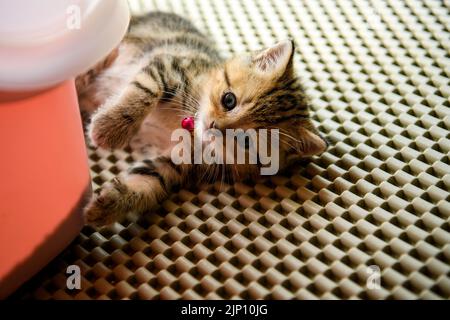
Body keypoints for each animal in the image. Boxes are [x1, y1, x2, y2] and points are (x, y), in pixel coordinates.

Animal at [78, 12, 326, 226]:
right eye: (229, 100)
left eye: (246, 141)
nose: (213, 126)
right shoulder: (167, 65)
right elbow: (145, 91)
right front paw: (110, 128)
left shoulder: (176, 162)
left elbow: (148, 180)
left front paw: (106, 207)